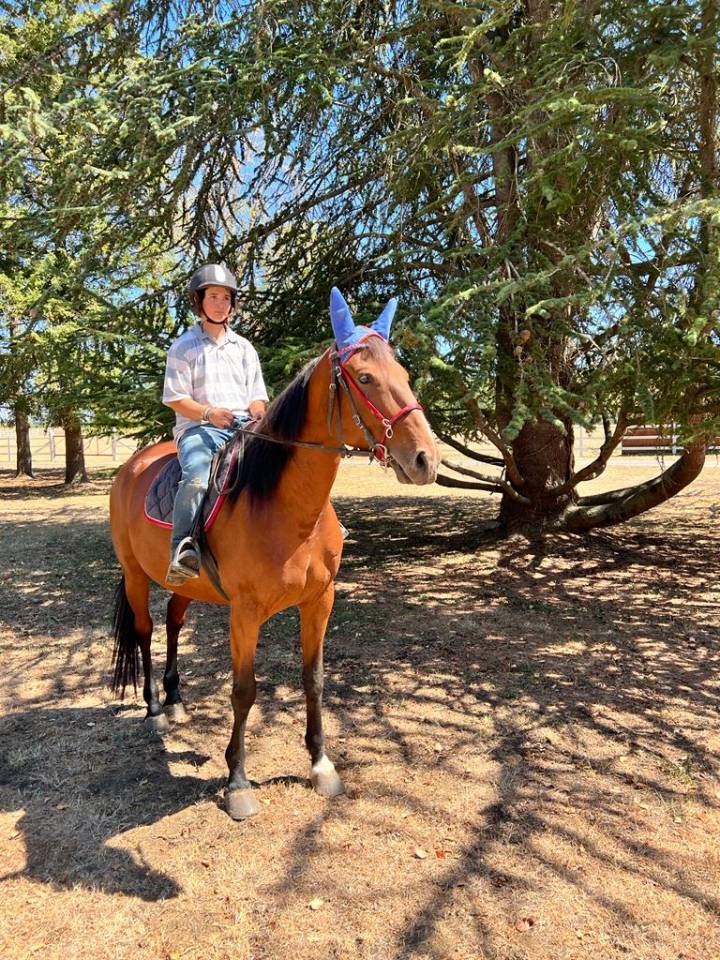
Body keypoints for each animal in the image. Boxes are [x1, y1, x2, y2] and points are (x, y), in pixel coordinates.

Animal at [109, 288, 439, 819]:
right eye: (365, 377)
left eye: (405, 375)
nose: (427, 459)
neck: (286, 509)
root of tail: (133, 466)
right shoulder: (245, 613)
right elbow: (244, 691)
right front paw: (238, 782)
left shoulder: (320, 601)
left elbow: (314, 679)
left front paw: (321, 765)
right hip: (135, 573)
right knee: (145, 629)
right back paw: (156, 709)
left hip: (188, 585)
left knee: (175, 623)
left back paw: (176, 700)